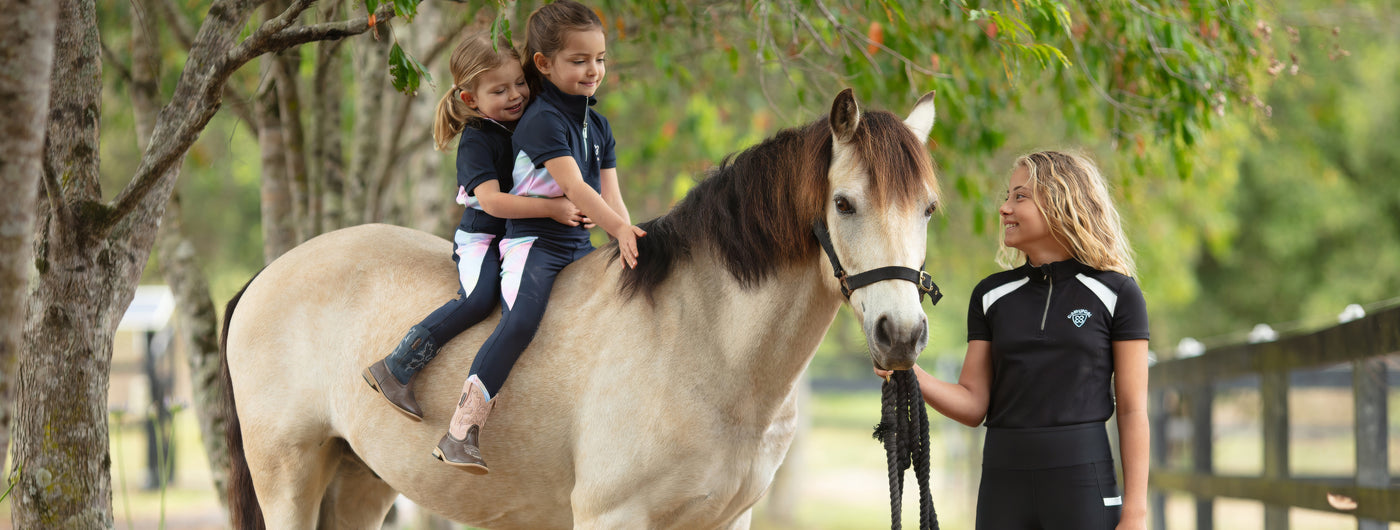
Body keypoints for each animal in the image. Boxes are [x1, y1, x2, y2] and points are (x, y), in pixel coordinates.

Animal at [220, 88, 942, 529]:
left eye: (928, 208)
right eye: (844, 203)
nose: (901, 334)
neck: (702, 342)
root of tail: (266, 276)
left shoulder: (726, 519)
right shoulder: (612, 515)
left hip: (360, 478)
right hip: (287, 471)